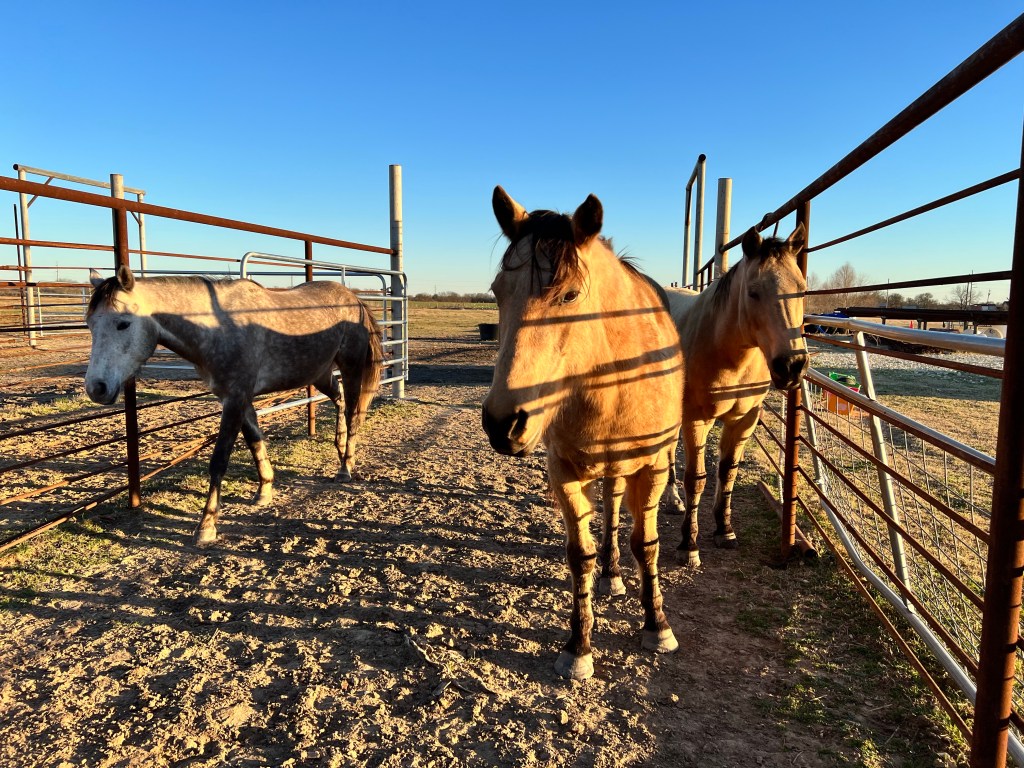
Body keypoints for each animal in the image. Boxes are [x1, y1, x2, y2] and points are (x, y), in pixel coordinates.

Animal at [85, 266, 383, 545]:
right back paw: (341, 448)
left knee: (353, 411)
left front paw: (206, 526)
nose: (96, 388)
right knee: (339, 398)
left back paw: (345, 468)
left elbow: (219, 460)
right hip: (320, 373)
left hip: (351, 366)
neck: (217, 328)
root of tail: (355, 300)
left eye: (123, 323)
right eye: (90, 324)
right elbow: (254, 441)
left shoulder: (236, 398)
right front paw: (264, 490)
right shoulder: (236, 398)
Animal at [482, 187, 684, 681]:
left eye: (569, 295)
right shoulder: (565, 471)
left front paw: (657, 625)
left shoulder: (653, 468)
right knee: (609, 508)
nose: (502, 422)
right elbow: (580, 554)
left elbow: (646, 544)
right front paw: (579, 646)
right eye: (498, 292)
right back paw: (610, 573)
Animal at [662, 224, 808, 567]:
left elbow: (727, 472)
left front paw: (724, 530)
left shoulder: (745, 419)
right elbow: (696, 478)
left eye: (802, 290)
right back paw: (673, 499)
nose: (791, 366)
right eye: (753, 292)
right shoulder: (696, 419)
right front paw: (688, 545)